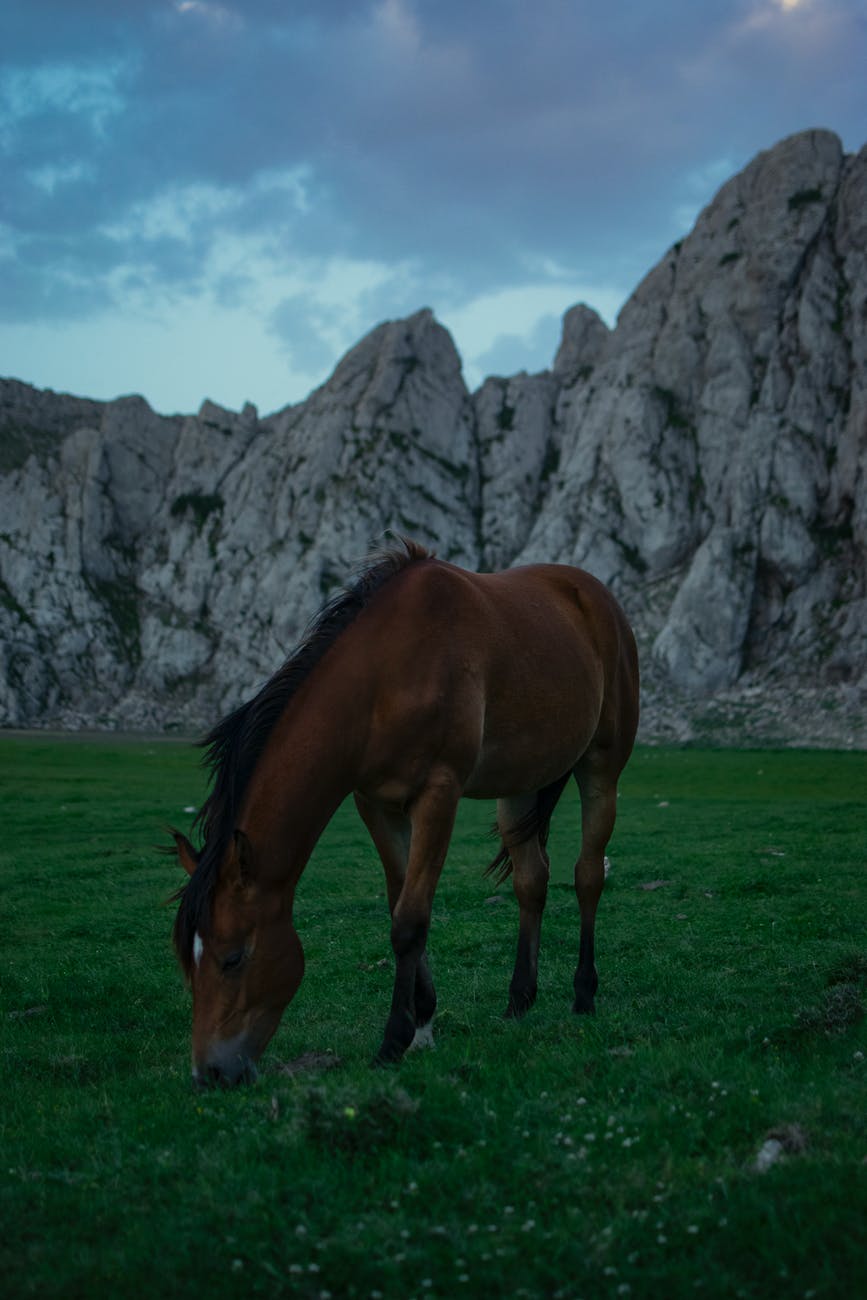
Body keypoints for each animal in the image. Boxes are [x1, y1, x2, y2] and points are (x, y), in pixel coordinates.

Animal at [171, 533, 636, 1081]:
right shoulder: (375, 804)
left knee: (588, 875)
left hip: (601, 767)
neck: (383, 678)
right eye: (187, 960)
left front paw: (394, 1039)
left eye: (233, 958)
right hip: (520, 785)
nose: (209, 1074)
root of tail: (595, 596)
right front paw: (424, 1023)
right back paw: (519, 1000)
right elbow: (400, 902)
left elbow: (410, 920)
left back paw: (584, 994)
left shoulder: (438, 796)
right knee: (531, 881)